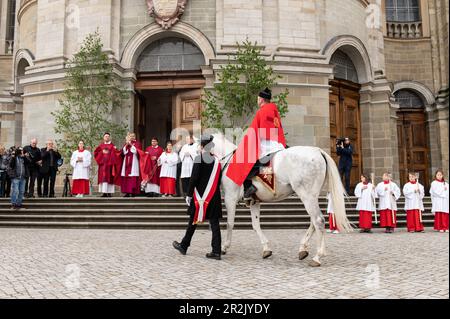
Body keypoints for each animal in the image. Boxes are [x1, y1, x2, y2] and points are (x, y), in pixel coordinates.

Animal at [211, 133, 352, 268]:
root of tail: (318, 151)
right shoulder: (254, 202)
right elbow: (256, 225)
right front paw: (266, 249)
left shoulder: (230, 198)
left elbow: (230, 224)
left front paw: (224, 247)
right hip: (312, 196)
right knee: (314, 221)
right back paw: (303, 249)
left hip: (306, 195)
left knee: (318, 220)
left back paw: (317, 257)